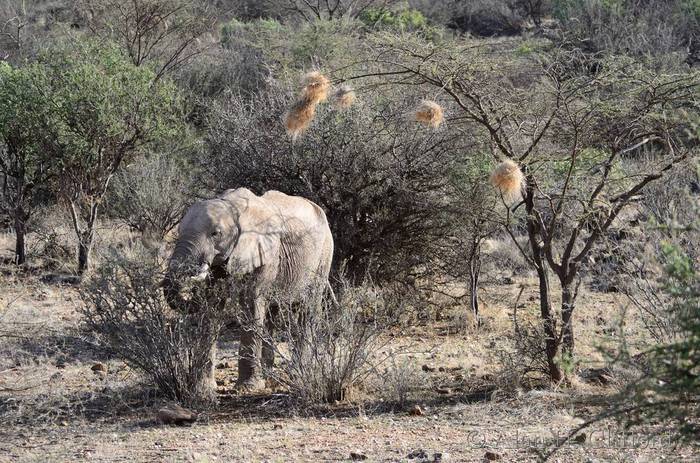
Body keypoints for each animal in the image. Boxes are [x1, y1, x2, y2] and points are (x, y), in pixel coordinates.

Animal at [163, 187, 334, 391]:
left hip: (324, 255)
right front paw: (205, 388)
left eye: (215, 233)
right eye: (179, 230)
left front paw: (247, 388)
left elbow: (251, 303)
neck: (234, 207)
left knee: (307, 309)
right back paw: (269, 379)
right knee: (272, 313)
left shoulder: (266, 253)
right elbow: (213, 305)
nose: (193, 284)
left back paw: (297, 375)